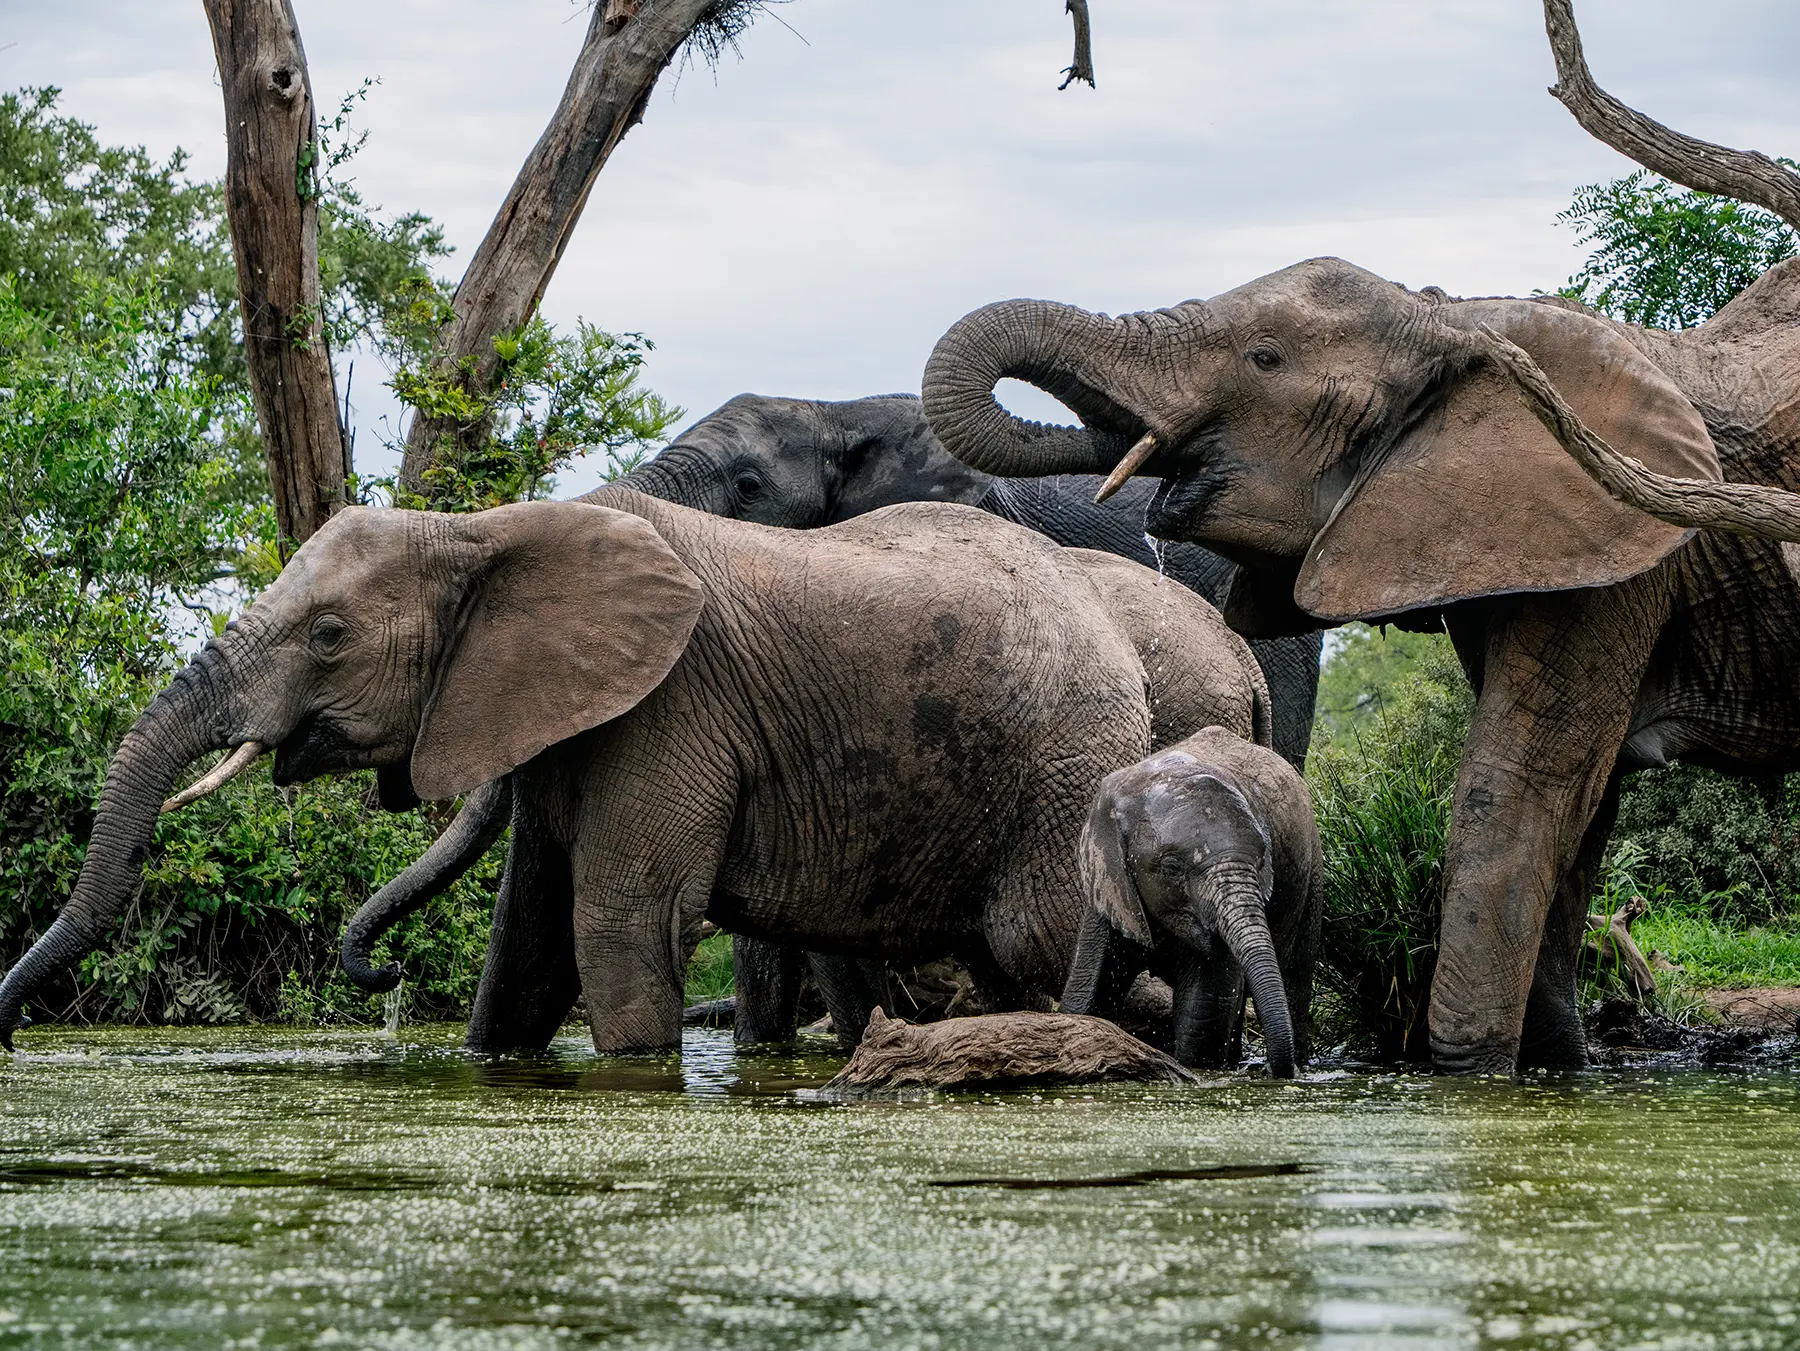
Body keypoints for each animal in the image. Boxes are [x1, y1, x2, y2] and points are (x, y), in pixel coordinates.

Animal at [0, 490, 1268, 1056]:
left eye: (327, 636)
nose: (13, 1032)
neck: (487, 525)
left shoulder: (669, 710)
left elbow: (617, 928)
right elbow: (525, 948)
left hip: (1065, 759)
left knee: (1051, 947)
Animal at [1060, 726, 1321, 1078]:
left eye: (1262, 862)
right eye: (1172, 867)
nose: (1274, 1071)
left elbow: (1204, 1015)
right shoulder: (1111, 891)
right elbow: (1087, 990)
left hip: (1312, 871)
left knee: (1294, 977)